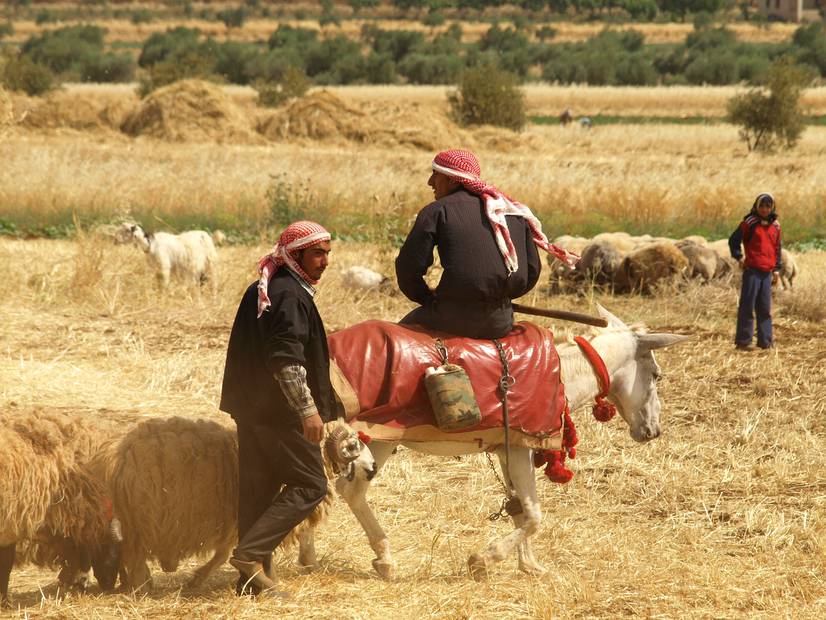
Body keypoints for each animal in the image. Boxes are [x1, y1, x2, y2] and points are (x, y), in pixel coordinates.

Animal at [87, 414, 374, 592]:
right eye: (353, 445)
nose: (372, 468)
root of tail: (113, 458)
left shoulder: (236, 517)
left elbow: (229, 551)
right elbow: (230, 552)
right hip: (143, 517)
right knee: (133, 555)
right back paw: (141, 587)